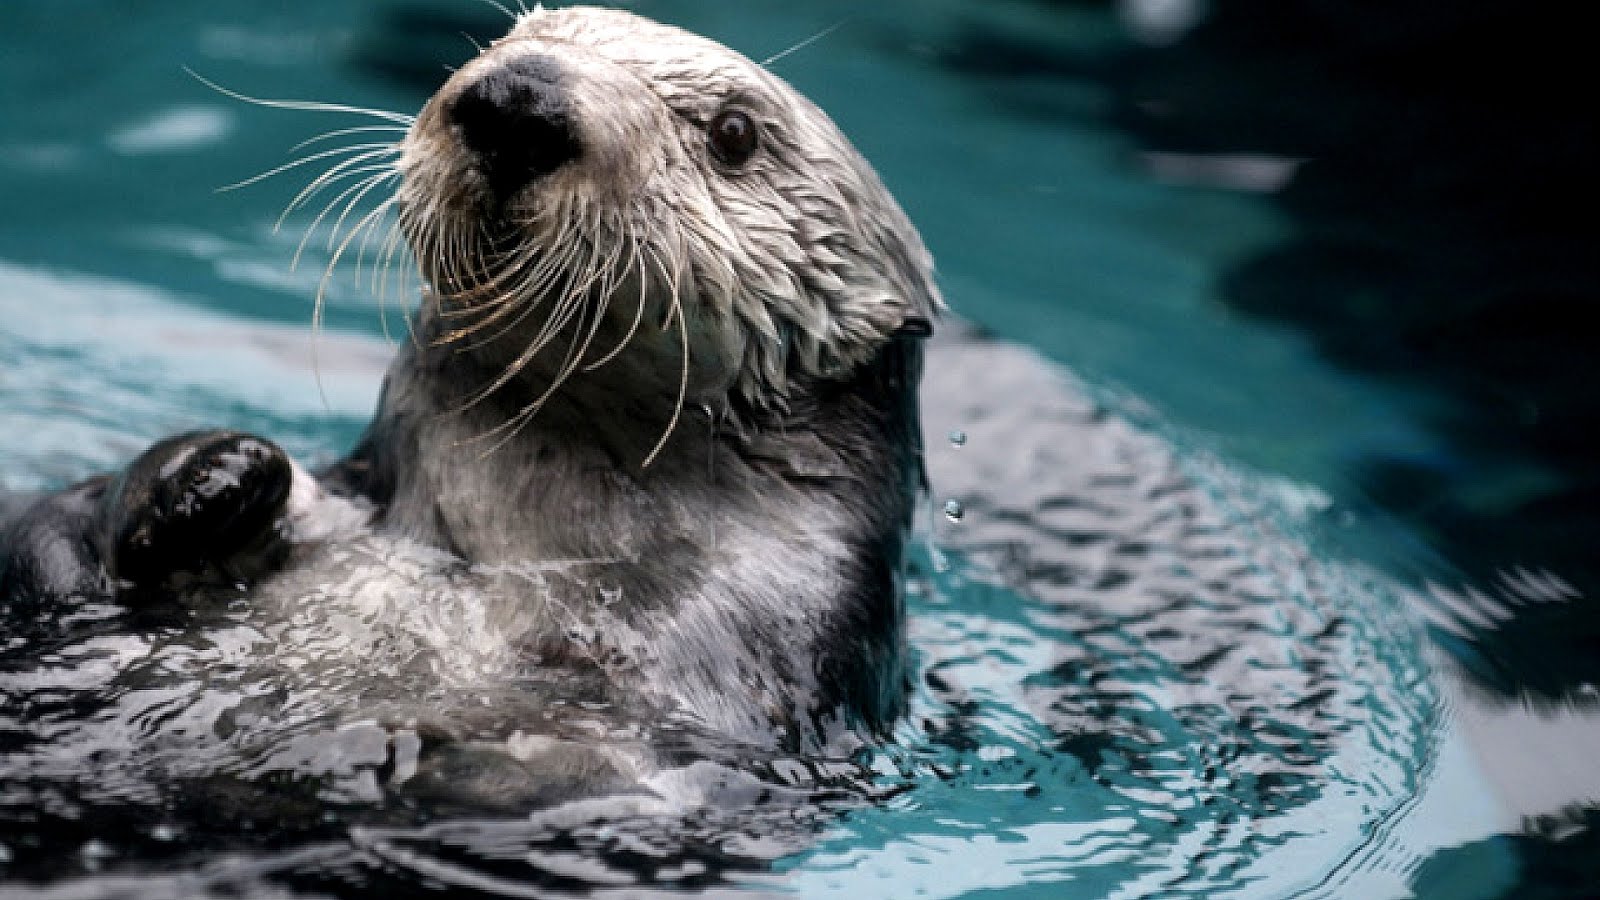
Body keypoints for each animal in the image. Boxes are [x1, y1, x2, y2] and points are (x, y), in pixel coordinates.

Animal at [0, 6, 940, 755]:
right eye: (513, 35)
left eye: (735, 133)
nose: (520, 96)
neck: (506, 559)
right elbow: (45, 539)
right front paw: (212, 477)